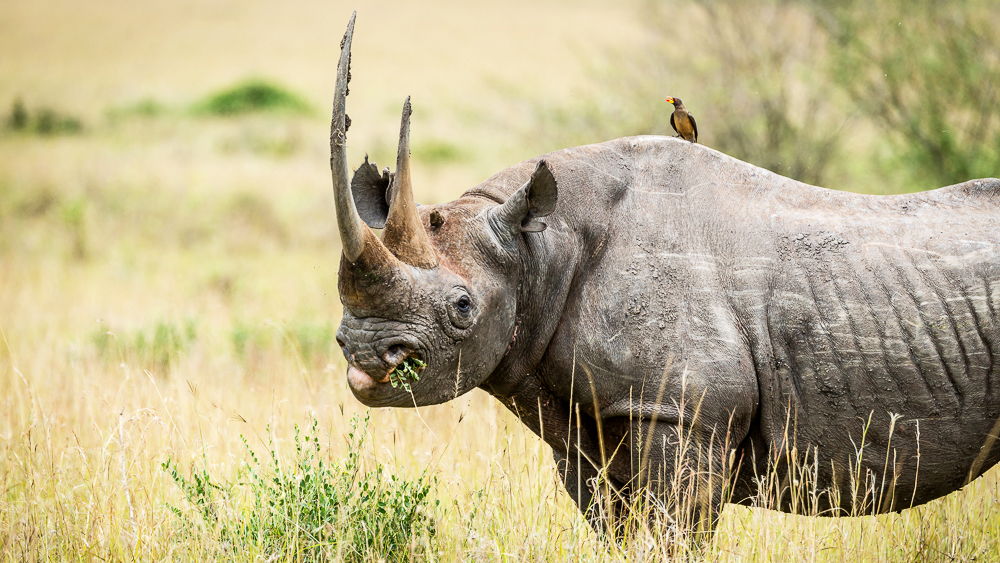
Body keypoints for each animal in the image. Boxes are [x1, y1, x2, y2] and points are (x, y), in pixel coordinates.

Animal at [328, 12, 1000, 532]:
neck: (536, 249)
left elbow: (673, 530)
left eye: (463, 309)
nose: (365, 356)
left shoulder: (684, 414)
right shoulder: (589, 428)